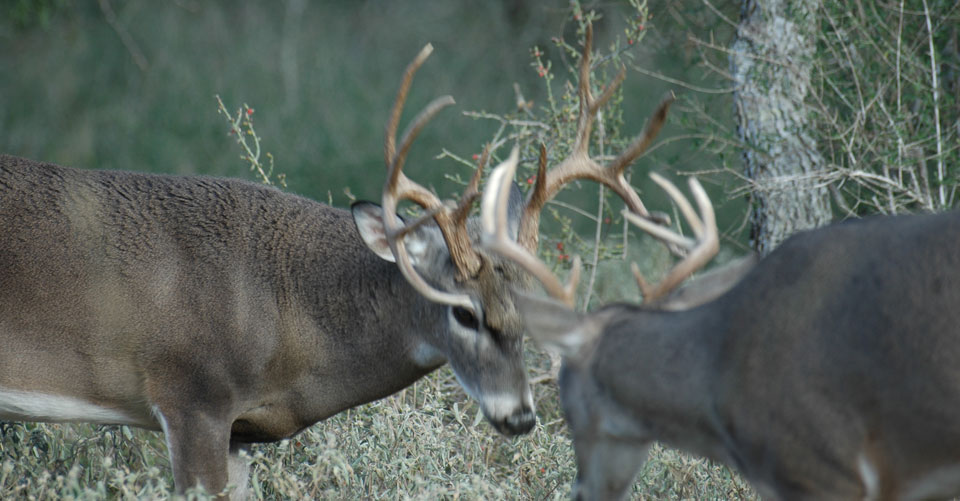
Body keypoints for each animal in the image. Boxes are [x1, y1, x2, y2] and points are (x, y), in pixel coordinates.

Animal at [0, 45, 548, 498]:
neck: (285, 311)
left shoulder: (239, 431)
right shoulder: (192, 396)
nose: (521, 417)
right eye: (465, 314)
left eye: (529, 312)